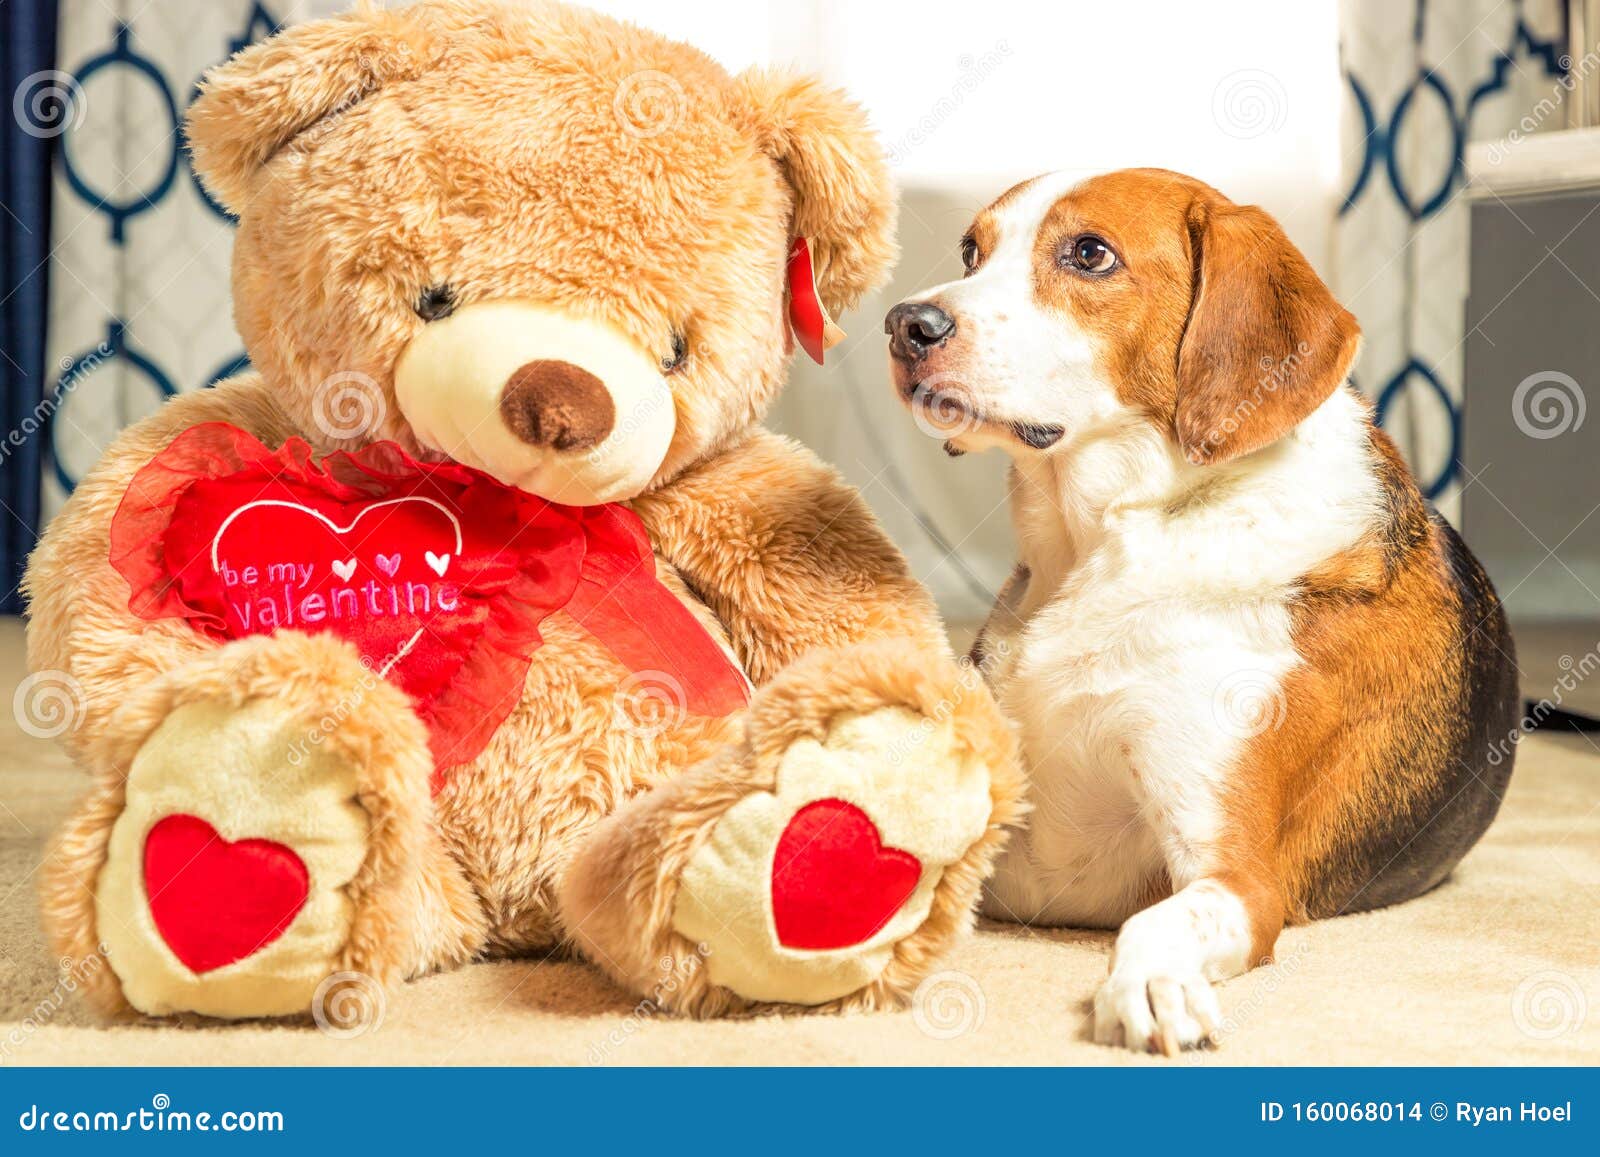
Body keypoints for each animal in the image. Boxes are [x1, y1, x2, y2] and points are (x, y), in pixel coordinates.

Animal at [883, 167, 1516, 1056]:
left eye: (1089, 253)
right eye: (971, 251)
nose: (906, 325)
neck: (1113, 536)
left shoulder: (1236, 878)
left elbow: (1156, 922)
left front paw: (1151, 984)